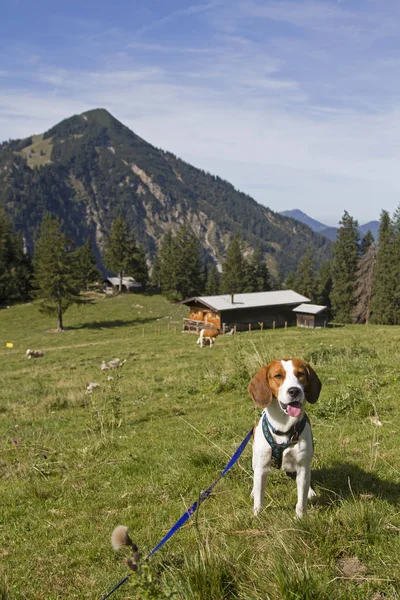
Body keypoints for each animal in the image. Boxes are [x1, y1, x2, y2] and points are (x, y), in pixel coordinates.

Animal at [247, 358, 322, 516]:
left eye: (300, 374)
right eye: (278, 376)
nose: (294, 390)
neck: (284, 428)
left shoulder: (302, 466)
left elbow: (301, 499)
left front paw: (300, 517)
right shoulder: (261, 467)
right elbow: (259, 497)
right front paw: (257, 515)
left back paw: (310, 492)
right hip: (255, 460)